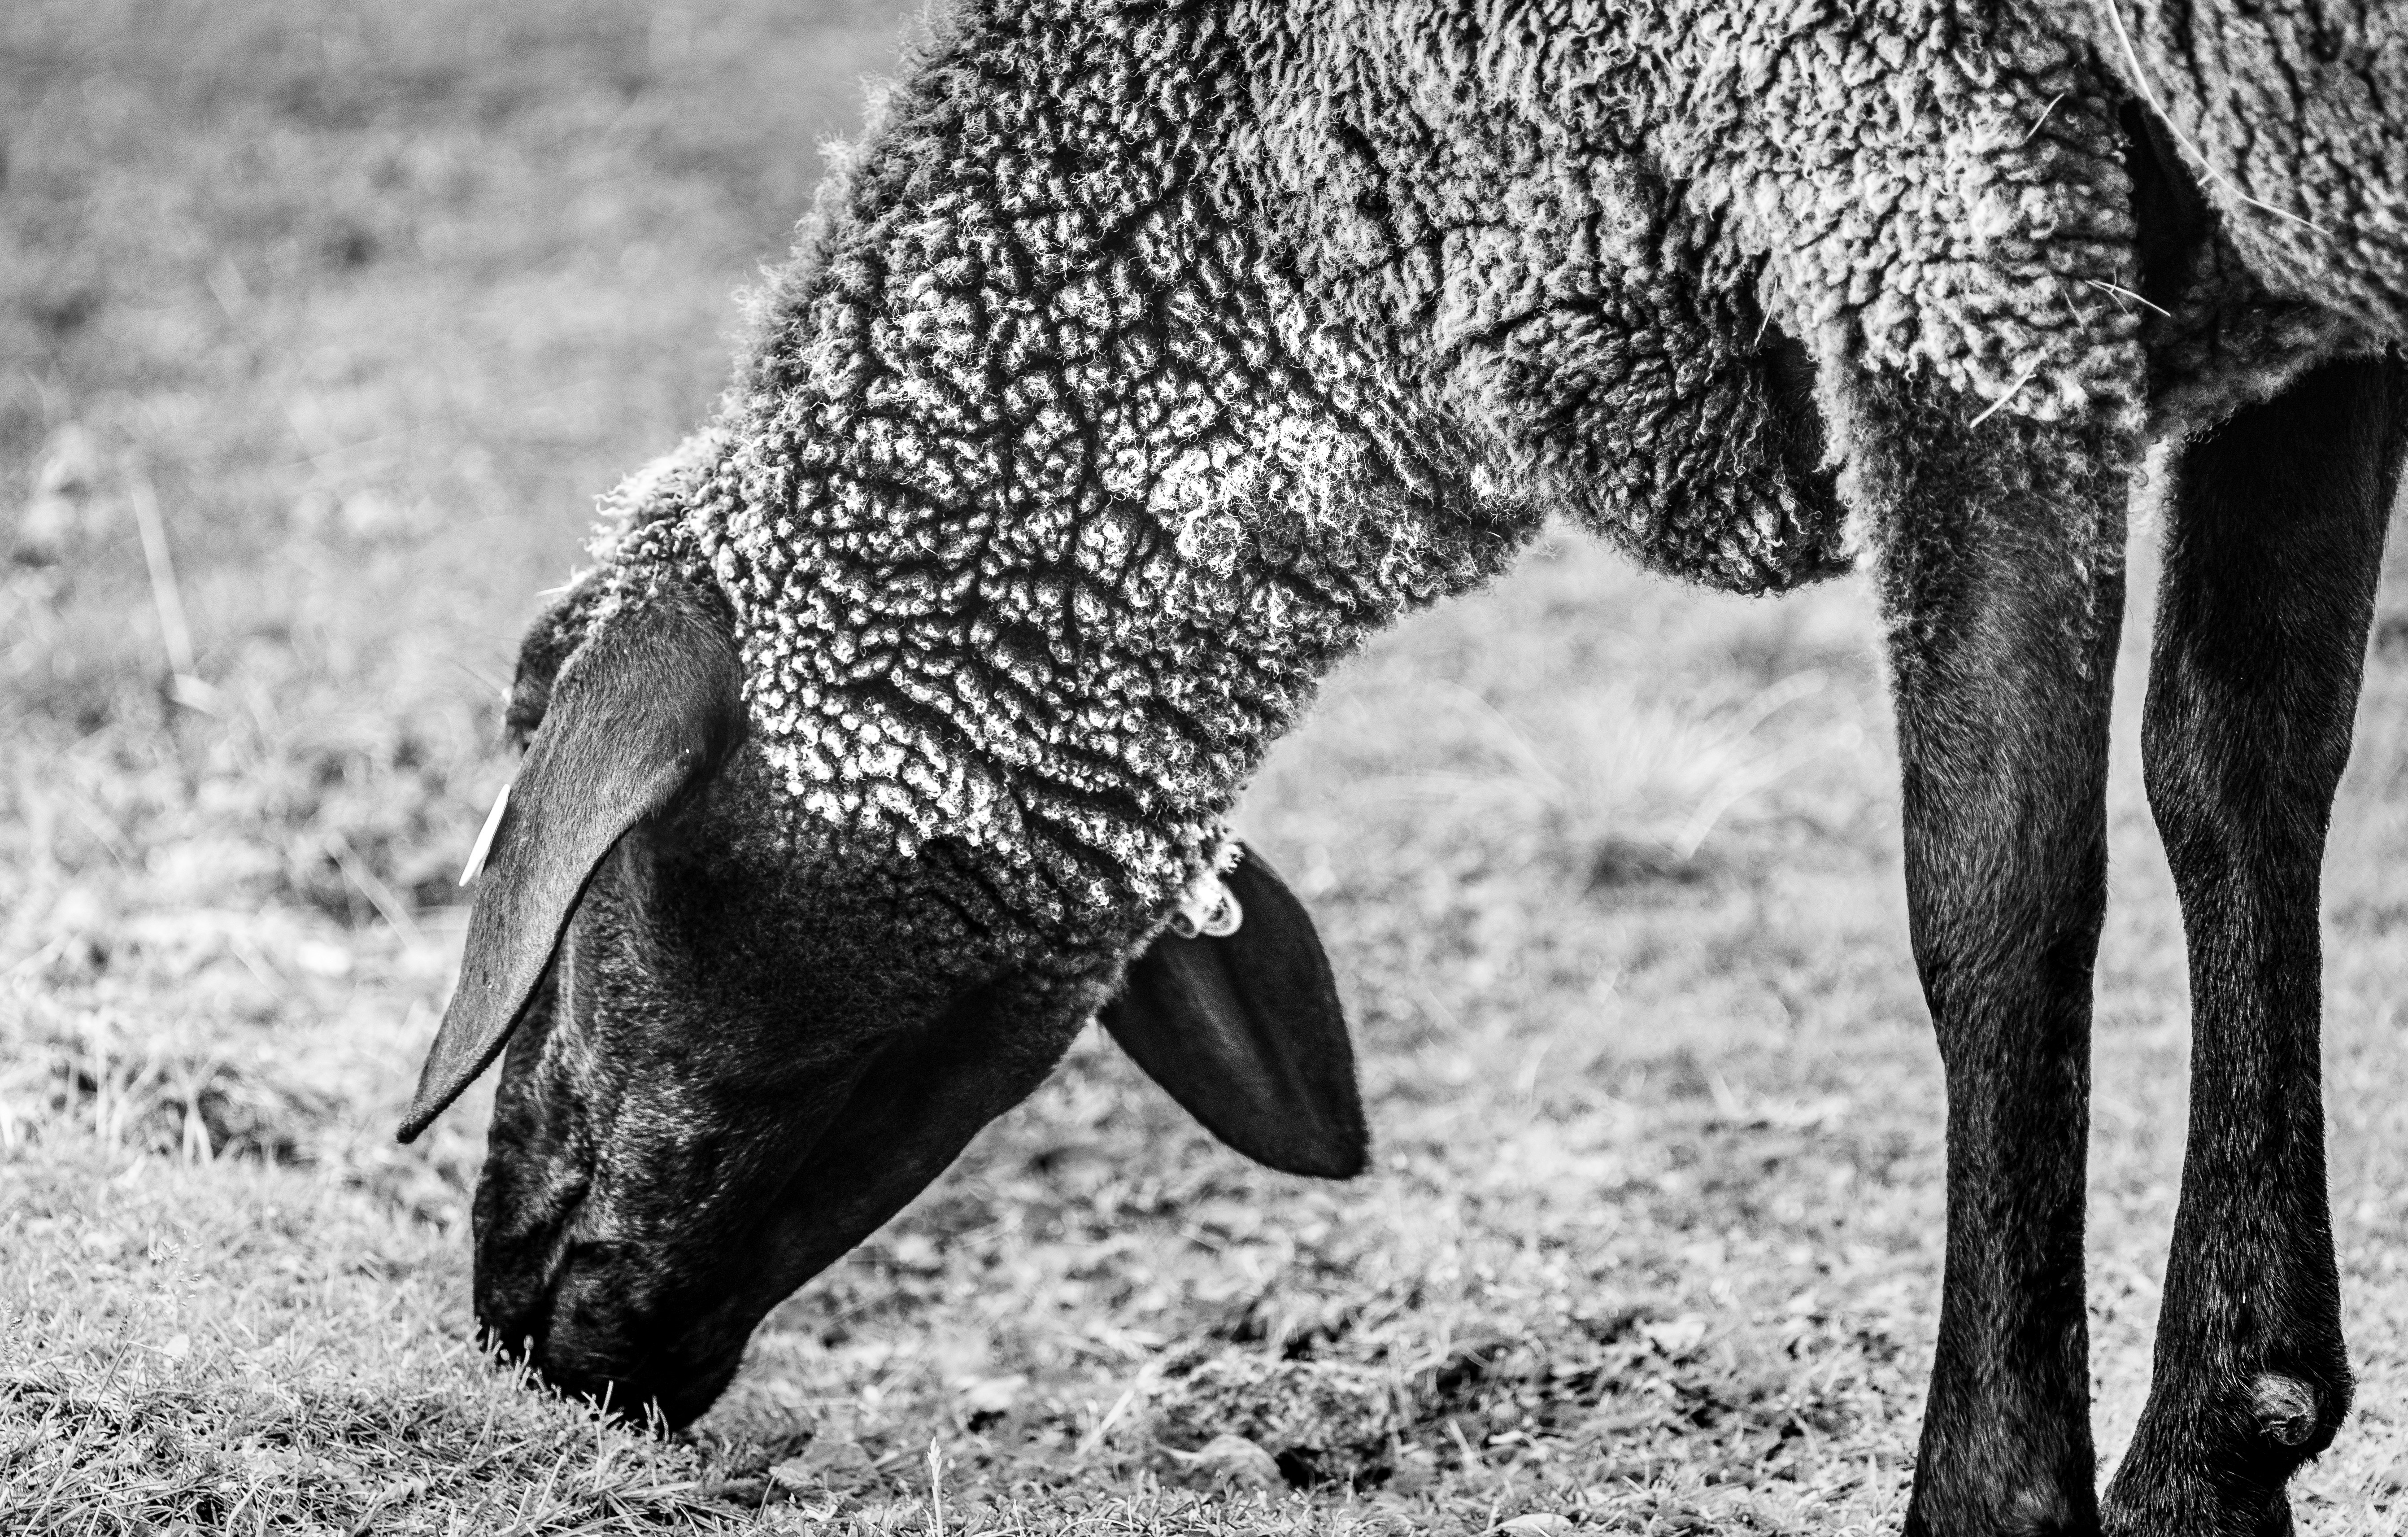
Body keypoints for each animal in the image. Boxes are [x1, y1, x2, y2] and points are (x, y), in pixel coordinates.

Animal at [395, 3, 2408, 1532]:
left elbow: (1996, 878)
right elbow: (2237, 772)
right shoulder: (2281, 250)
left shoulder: (1926, 165)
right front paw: (2226, 1438)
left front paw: (1999, 1486)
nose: (503, 1304)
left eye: (574, 859)